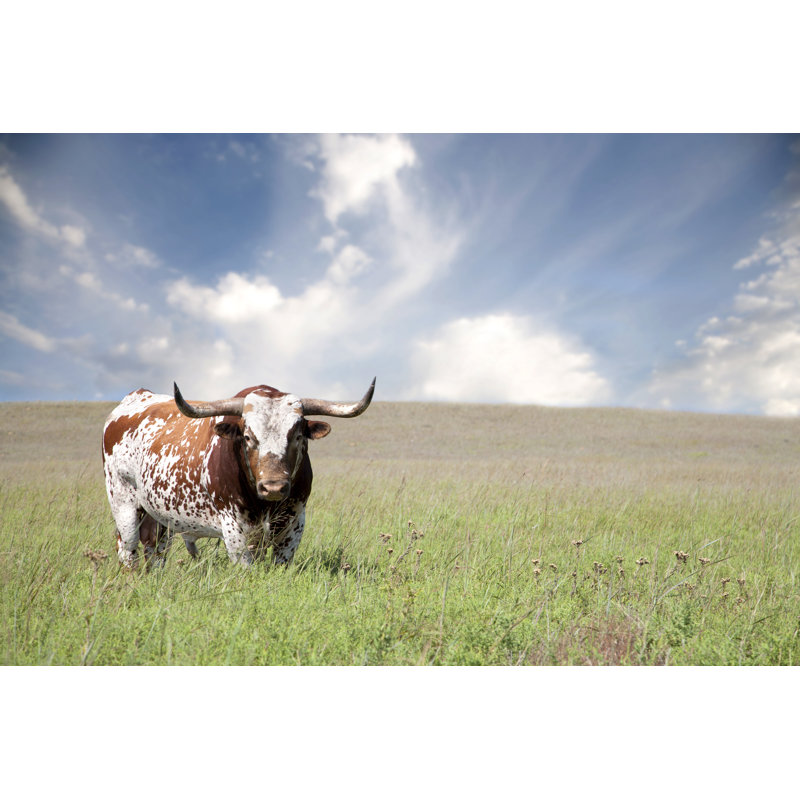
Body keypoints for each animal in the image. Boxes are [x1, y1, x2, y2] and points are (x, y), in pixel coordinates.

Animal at [102, 378, 375, 568]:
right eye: (248, 436)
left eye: (297, 436)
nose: (274, 487)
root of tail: (135, 397)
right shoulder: (235, 531)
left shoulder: (294, 524)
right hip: (123, 504)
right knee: (127, 549)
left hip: (159, 516)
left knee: (155, 549)